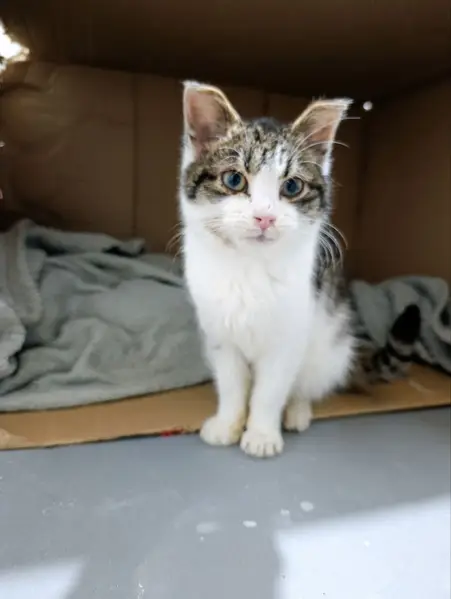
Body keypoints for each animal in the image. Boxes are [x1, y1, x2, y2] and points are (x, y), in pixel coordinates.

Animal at [178, 81, 418, 458]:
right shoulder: (218, 333)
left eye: (291, 186)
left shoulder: (291, 333)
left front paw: (261, 433)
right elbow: (232, 384)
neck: (249, 267)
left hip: (331, 343)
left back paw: (297, 410)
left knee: (307, 383)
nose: (264, 216)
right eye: (234, 179)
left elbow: (270, 390)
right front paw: (228, 423)